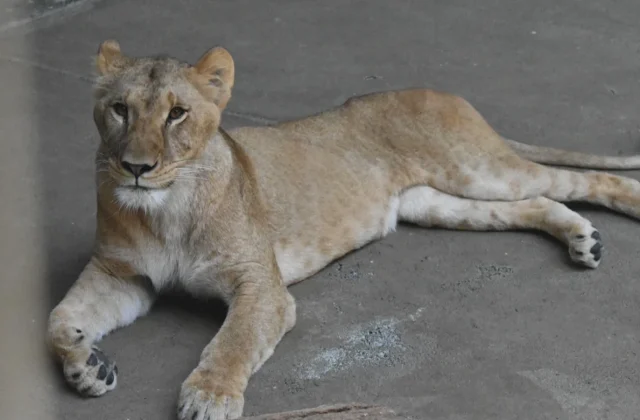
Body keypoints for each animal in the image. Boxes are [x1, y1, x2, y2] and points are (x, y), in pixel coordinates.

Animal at [47, 40, 640, 420]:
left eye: (177, 114)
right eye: (119, 110)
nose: (136, 167)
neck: (164, 209)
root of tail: (442, 92)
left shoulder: (261, 287)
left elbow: (234, 342)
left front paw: (210, 398)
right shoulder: (122, 276)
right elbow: (57, 322)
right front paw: (87, 367)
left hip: (479, 169)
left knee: (582, 178)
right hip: (438, 201)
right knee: (537, 201)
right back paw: (583, 239)